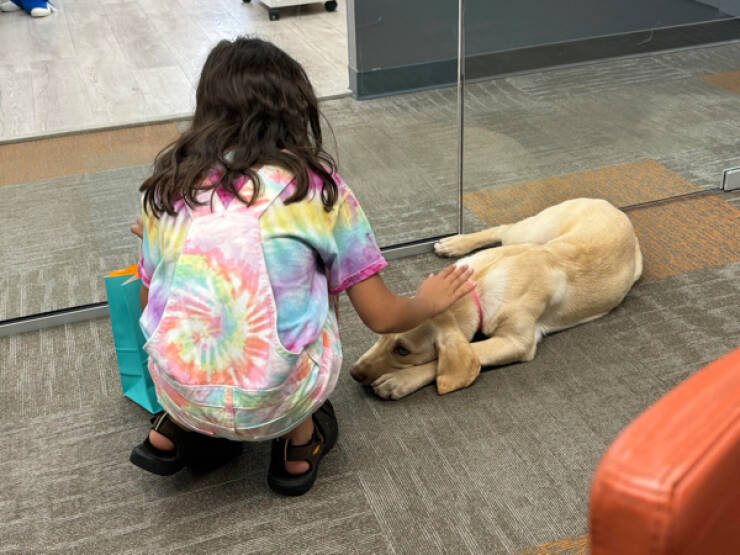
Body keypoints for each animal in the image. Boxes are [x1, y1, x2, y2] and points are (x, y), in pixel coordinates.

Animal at [350, 199, 640, 400]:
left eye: (403, 350)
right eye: (381, 336)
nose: (353, 372)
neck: (475, 290)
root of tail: (610, 205)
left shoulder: (516, 342)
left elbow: (456, 358)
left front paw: (400, 380)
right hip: (532, 232)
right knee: (503, 228)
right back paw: (455, 243)